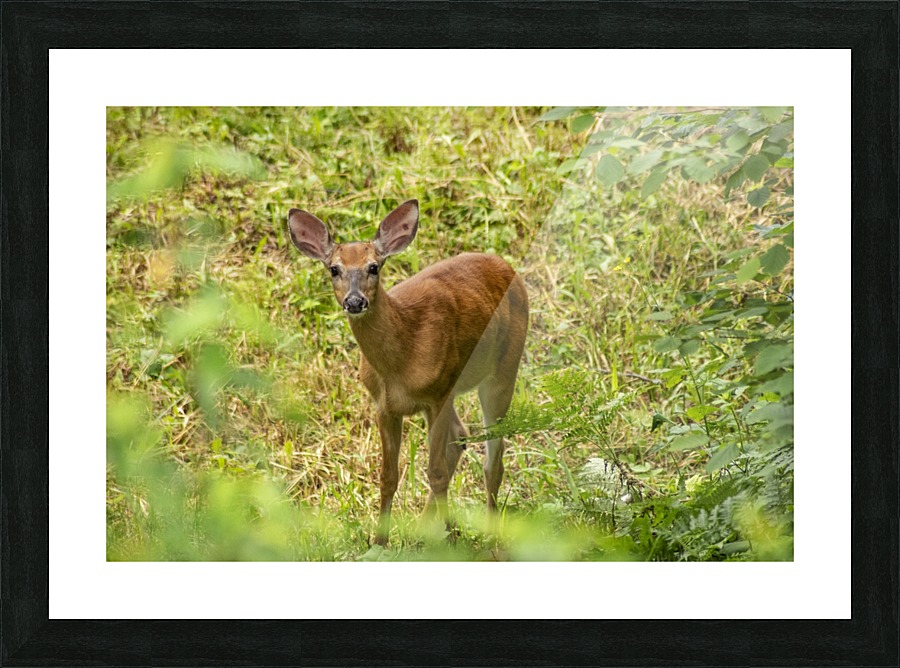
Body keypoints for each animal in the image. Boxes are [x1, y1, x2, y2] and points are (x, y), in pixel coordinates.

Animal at [287, 199, 528, 545]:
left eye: (374, 267)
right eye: (333, 269)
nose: (355, 301)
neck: (400, 361)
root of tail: (509, 268)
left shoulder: (438, 395)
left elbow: (436, 473)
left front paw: (451, 541)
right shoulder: (384, 405)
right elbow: (388, 476)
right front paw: (380, 543)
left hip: (503, 370)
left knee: (492, 460)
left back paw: (492, 535)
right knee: (461, 435)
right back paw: (426, 526)